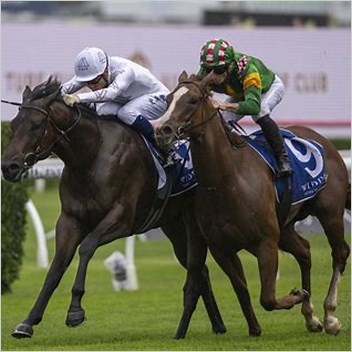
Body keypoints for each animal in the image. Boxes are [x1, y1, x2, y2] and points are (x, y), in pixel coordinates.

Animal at [0, 75, 226, 340]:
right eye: (14, 124)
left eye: (36, 125)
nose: (9, 167)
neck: (91, 156)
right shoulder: (69, 220)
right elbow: (56, 267)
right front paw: (28, 321)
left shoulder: (122, 218)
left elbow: (87, 247)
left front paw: (75, 310)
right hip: (175, 227)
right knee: (201, 271)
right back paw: (218, 326)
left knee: (199, 268)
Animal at [155, 71, 350, 336]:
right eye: (167, 99)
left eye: (193, 100)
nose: (161, 130)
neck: (225, 180)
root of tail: (324, 141)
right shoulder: (221, 248)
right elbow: (242, 290)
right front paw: (256, 328)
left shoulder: (265, 242)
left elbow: (267, 298)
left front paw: (297, 295)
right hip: (285, 226)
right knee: (305, 251)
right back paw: (311, 317)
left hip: (330, 212)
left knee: (339, 253)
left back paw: (330, 316)